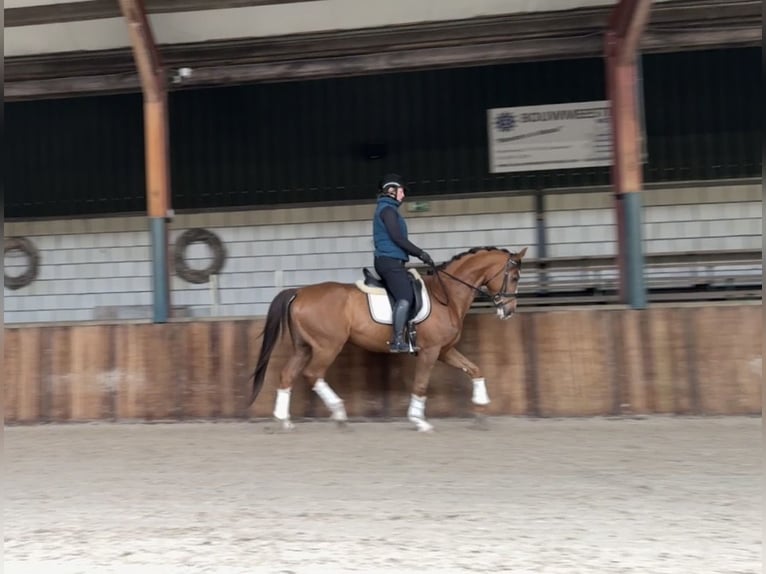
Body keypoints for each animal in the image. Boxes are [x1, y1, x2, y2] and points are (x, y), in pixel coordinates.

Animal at [248, 245, 528, 432]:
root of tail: (299, 292)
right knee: (312, 374)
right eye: (514, 277)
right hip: (327, 346)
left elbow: (475, 369)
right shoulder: (431, 350)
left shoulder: (445, 350)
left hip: (304, 347)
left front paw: (481, 408)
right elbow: (421, 384)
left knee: (287, 375)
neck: (446, 295)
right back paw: (339, 414)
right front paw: (419, 420)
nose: (508, 311)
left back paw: (284, 420)